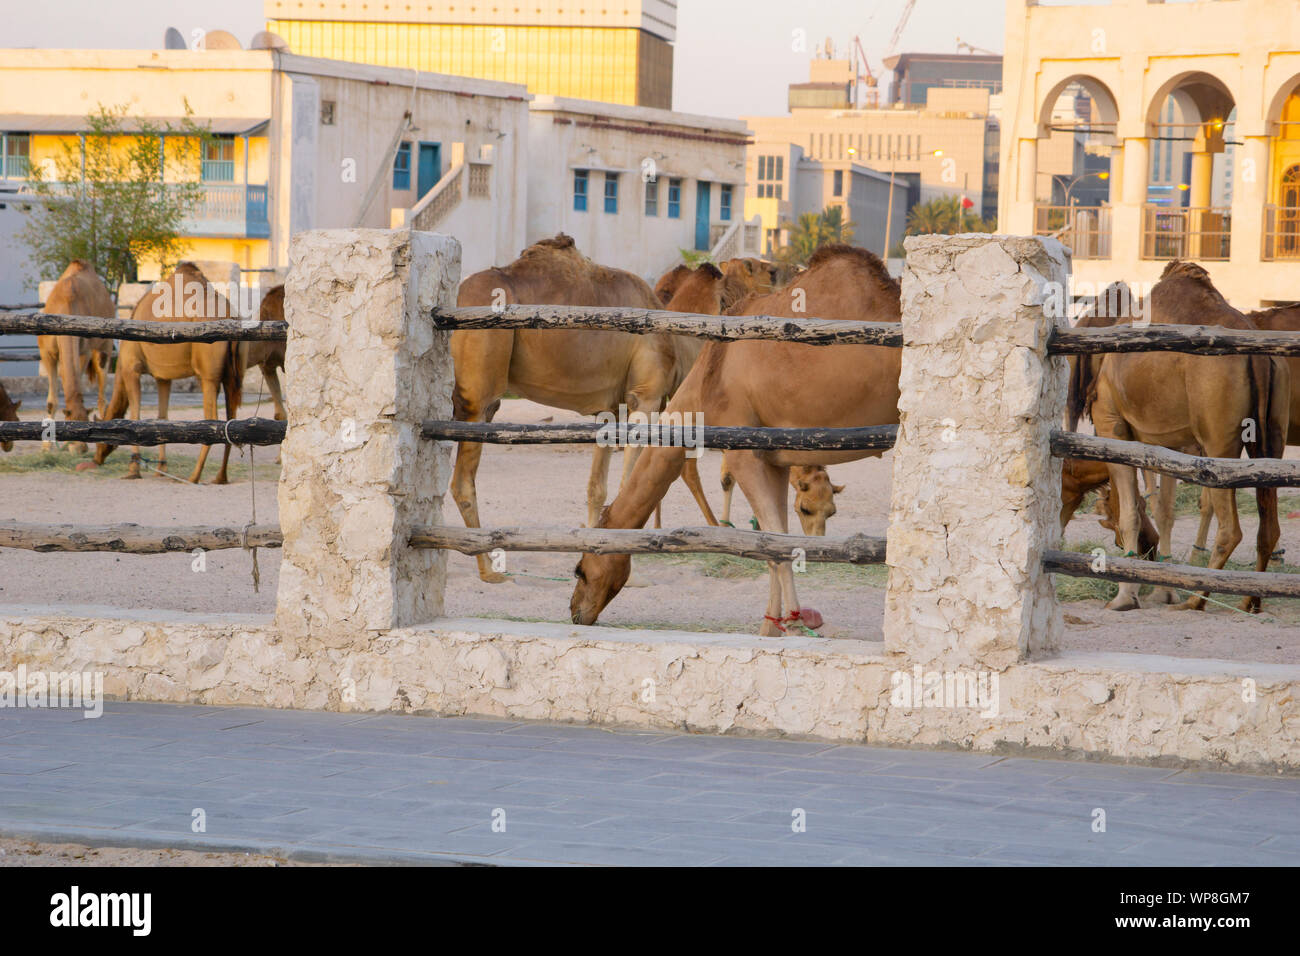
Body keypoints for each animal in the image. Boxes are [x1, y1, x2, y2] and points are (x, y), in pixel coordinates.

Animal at [38, 260, 115, 454]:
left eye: (86, 424)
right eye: (71, 423)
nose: (80, 449)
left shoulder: (84, 350)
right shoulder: (47, 352)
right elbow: (51, 401)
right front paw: (46, 446)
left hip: (105, 346)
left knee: (102, 392)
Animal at [89, 262, 243, 484]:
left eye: (99, 438)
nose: (96, 458)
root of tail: (231, 315)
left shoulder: (131, 367)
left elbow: (135, 416)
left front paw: (133, 469)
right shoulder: (163, 377)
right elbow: (163, 417)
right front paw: (160, 468)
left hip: (209, 376)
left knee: (212, 418)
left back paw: (194, 476)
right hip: (231, 375)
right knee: (232, 418)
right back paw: (220, 477)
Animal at [452, 235, 717, 582]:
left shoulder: (611, 410)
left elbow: (597, 489)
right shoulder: (645, 397)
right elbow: (627, 483)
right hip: (481, 394)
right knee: (462, 479)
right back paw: (488, 569)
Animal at [570, 244, 903, 636]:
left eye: (579, 570)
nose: (576, 611)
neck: (708, 375)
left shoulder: (744, 451)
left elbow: (775, 546)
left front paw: (793, 627)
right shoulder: (774, 460)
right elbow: (775, 540)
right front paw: (771, 630)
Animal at [1073, 261, 1289, 613]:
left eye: (1105, 519)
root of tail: (1257, 356)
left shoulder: (1112, 426)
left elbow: (1132, 512)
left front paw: (1125, 596)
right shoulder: (1165, 442)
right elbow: (1164, 510)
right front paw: (1161, 591)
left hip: (1219, 440)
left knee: (1231, 529)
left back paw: (1195, 599)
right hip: (1272, 435)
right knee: (1267, 525)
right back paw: (1249, 599)